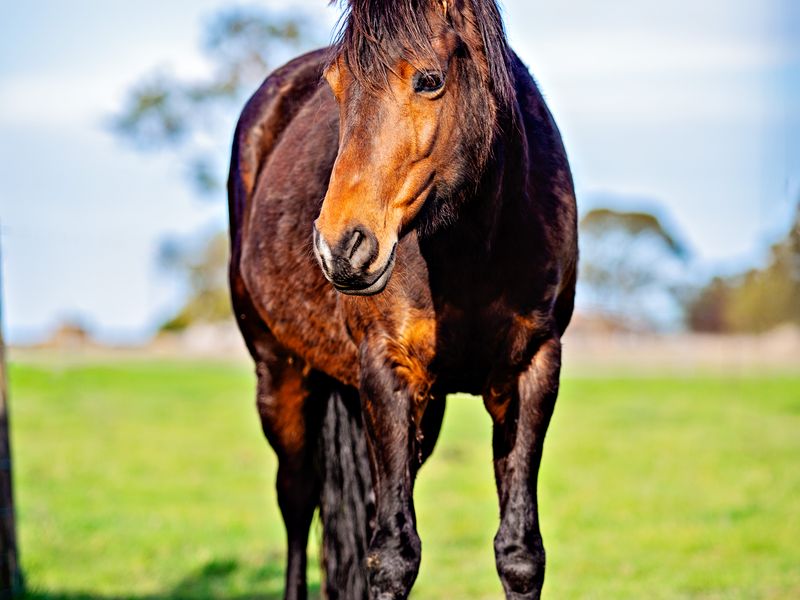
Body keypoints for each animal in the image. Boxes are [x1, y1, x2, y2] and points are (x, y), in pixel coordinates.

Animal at [228, 0, 578, 598]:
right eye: (336, 85)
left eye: (429, 80)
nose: (340, 247)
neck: (475, 249)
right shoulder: (386, 369)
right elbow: (392, 556)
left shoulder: (533, 368)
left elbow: (520, 553)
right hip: (280, 373)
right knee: (297, 500)